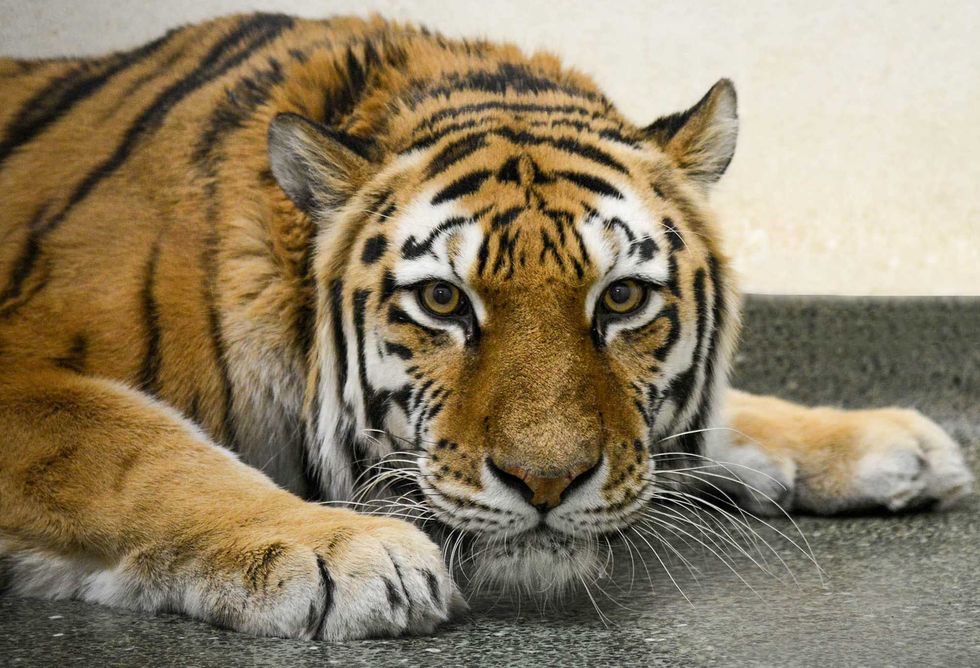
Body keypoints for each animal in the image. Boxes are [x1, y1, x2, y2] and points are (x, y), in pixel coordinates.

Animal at [0, 13, 973, 641]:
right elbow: (138, 448)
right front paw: (345, 553)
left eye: (622, 300)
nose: (547, 484)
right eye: (442, 303)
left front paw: (887, 441)